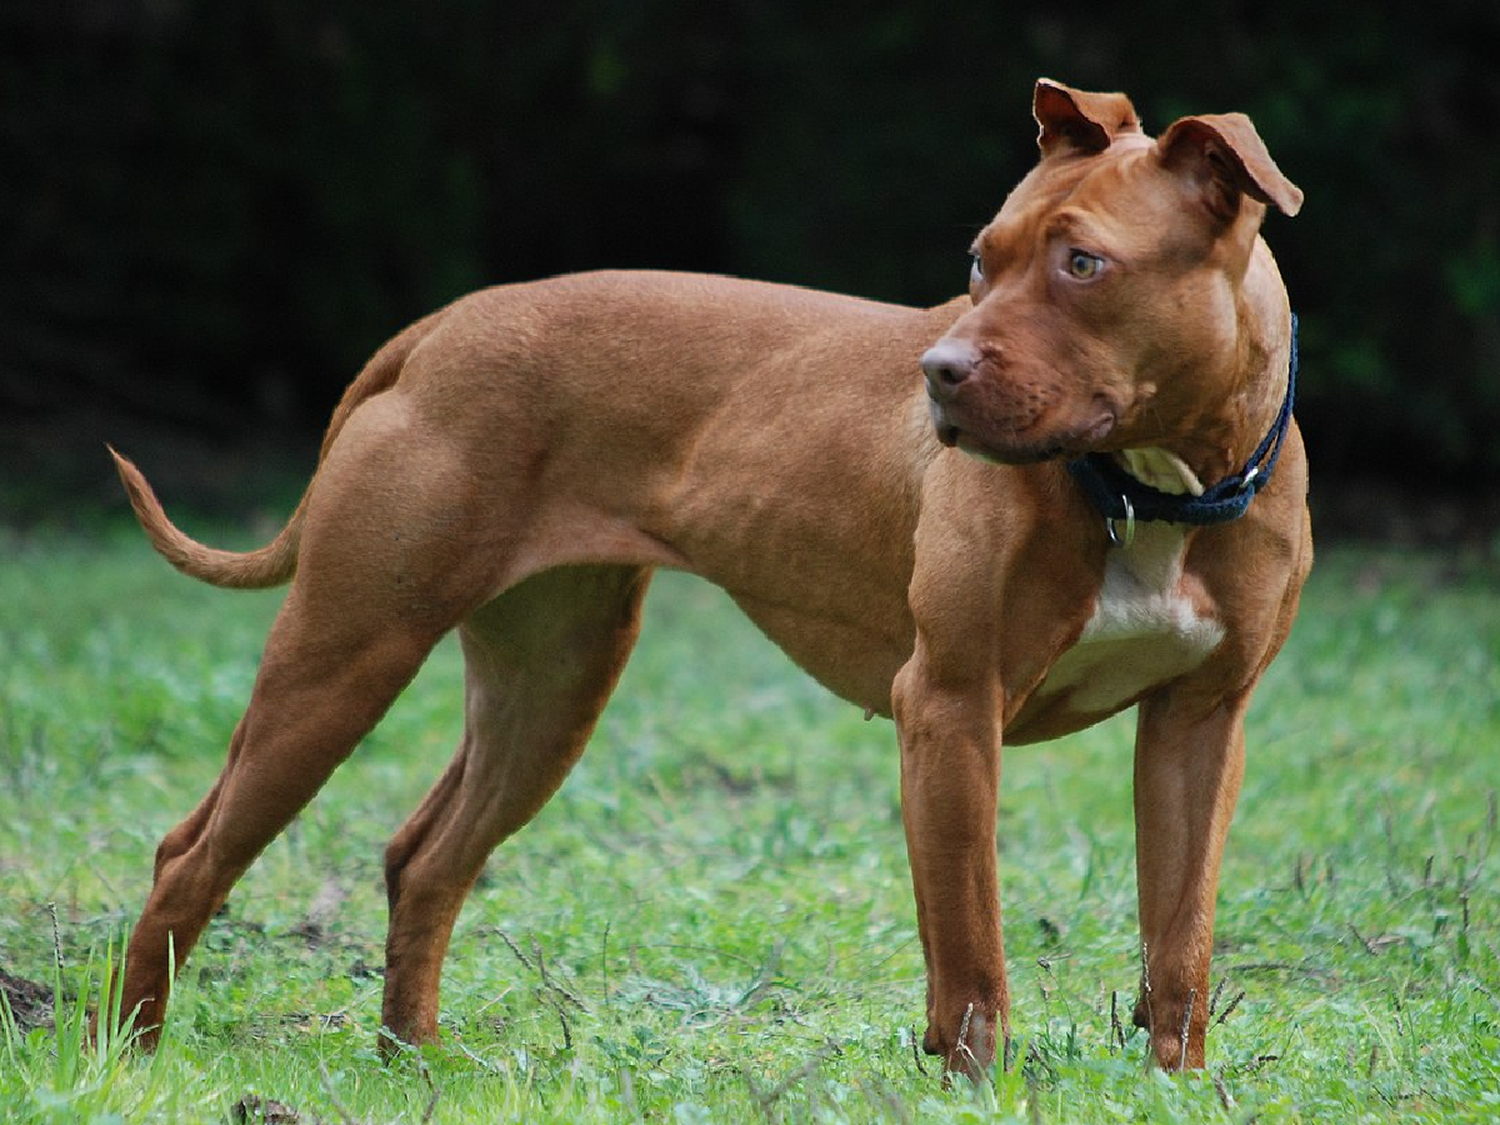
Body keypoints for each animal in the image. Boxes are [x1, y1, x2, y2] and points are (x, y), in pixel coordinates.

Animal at [108, 77, 1302, 1074]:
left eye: (1083, 264)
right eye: (980, 259)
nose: (939, 372)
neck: (1157, 487)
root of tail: (440, 328)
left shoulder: (1201, 727)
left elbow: (1180, 945)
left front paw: (1175, 1086)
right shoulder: (954, 708)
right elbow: (971, 959)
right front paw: (979, 1090)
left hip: (549, 686)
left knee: (426, 857)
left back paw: (413, 1062)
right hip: (346, 654)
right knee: (191, 855)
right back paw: (134, 1055)